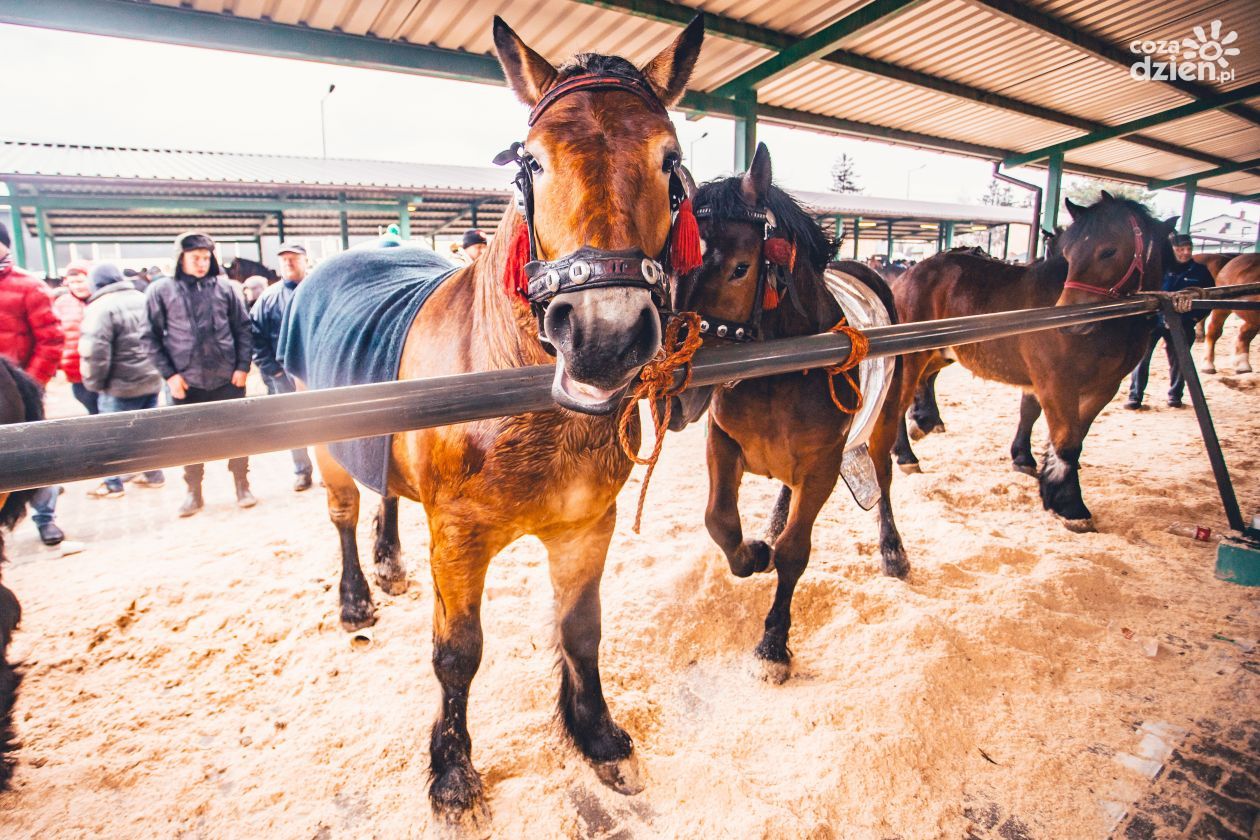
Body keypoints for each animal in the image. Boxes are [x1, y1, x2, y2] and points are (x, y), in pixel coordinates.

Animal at [278, 16, 710, 831]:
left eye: (669, 159)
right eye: (532, 162)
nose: (605, 337)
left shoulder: (586, 524)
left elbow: (581, 628)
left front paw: (597, 735)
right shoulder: (458, 537)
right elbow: (458, 653)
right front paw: (453, 775)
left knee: (386, 495)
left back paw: (389, 563)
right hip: (326, 445)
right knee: (345, 510)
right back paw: (356, 596)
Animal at [670, 142, 907, 685]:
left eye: (740, 268)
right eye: (674, 267)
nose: (675, 396)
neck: (780, 371)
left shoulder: (823, 464)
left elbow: (795, 553)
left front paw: (773, 643)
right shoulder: (723, 442)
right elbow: (720, 521)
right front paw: (754, 552)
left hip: (883, 422)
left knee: (883, 477)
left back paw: (891, 548)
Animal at [887, 193, 1179, 528]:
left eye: (1109, 251)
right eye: (1069, 253)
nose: (1069, 317)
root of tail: (907, 276)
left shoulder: (1104, 387)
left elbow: (1047, 422)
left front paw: (1029, 463)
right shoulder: (1056, 381)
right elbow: (1066, 439)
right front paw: (1069, 504)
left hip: (942, 352)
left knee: (926, 381)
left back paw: (925, 421)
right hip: (913, 355)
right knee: (901, 396)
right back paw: (906, 454)